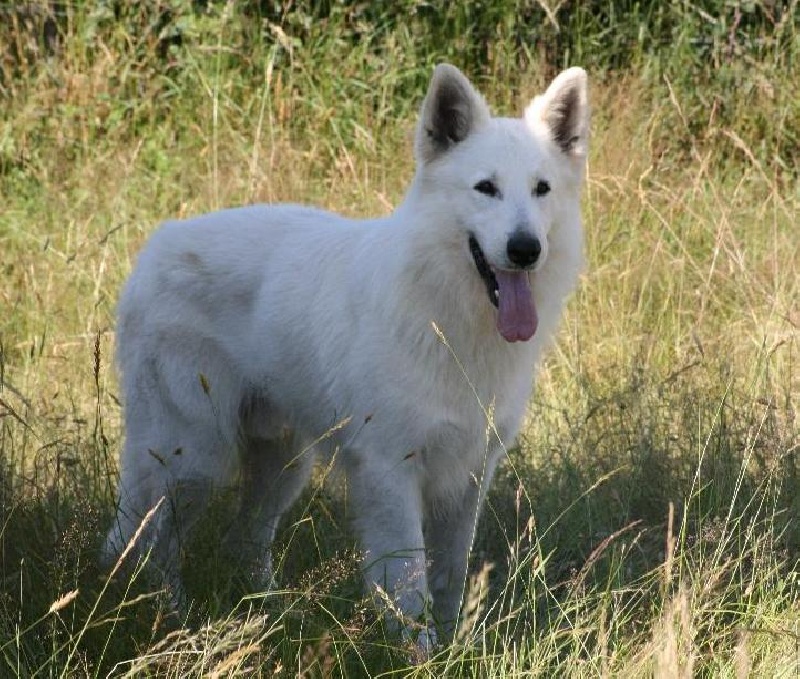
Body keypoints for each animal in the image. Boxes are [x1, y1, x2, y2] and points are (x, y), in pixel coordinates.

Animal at [104, 63, 588, 648]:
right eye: (486, 188)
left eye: (541, 190)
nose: (525, 249)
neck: (446, 316)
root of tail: (157, 244)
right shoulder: (391, 473)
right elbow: (410, 587)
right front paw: (421, 656)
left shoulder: (470, 476)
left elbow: (450, 579)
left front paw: (456, 650)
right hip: (193, 459)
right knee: (143, 547)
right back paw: (169, 622)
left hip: (282, 466)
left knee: (240, 543)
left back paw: (272, 617)